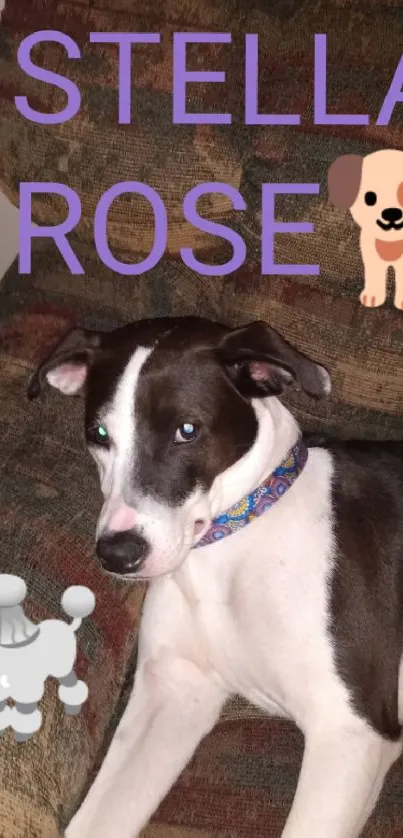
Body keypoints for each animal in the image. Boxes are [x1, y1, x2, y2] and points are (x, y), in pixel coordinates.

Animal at [28, 316, 403, 838]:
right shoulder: (174, 697)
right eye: (99, 433)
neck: (232, 547)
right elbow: (92, 823)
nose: (117, 555)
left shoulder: (350, 731)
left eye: (187, 430)